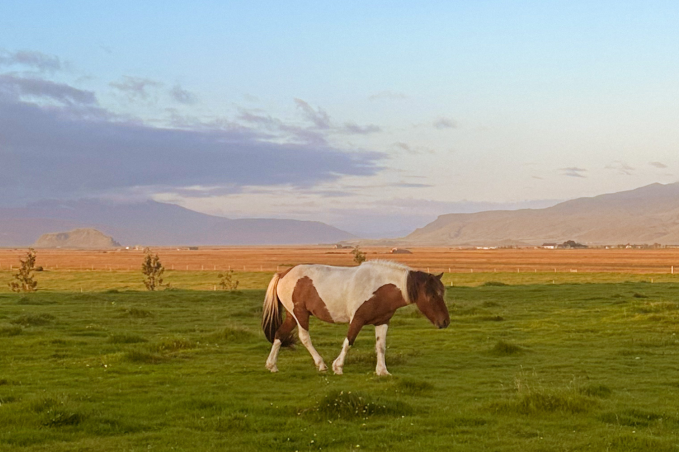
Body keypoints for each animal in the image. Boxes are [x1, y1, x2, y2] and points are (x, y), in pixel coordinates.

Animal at [262, 260, 450, 376]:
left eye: (442, 292)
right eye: (432, 296)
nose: (445, 322)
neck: (379, 286)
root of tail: (282, 274)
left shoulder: (382, 321)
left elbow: (381, 346)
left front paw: (382, 371)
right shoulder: (357, 319)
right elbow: (349, 341)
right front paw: (338, 367)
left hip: (292, 316)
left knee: (279, 334)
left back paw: (272, 366)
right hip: (300, 314)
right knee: (304, 337)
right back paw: (321, 364)